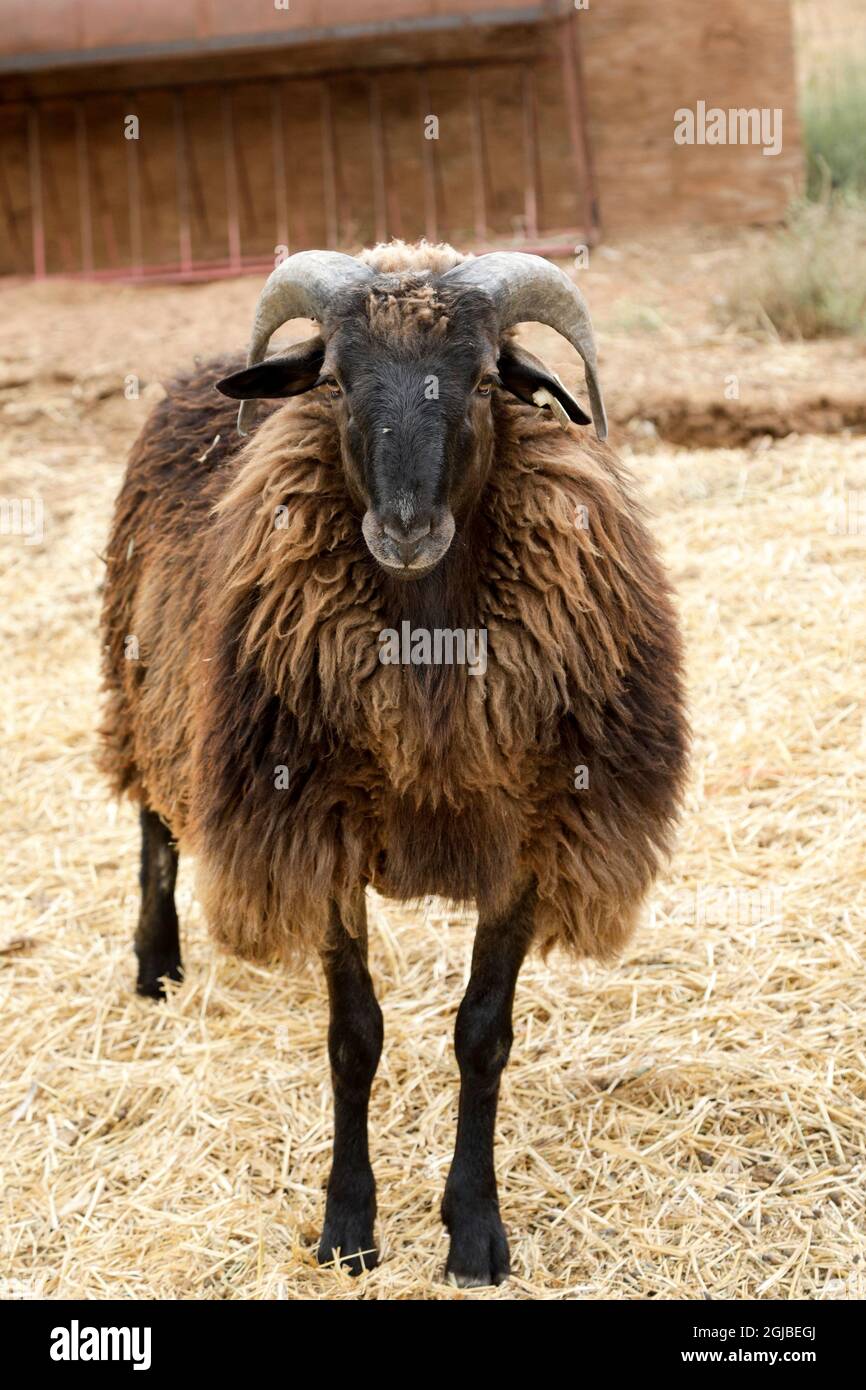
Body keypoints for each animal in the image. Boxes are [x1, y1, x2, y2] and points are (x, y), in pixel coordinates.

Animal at [99, 240, 688, 1286]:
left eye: (488, 379)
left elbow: (483, 1035)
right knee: (154, 820)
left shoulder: (531, 834)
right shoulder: (321, 830)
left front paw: (475, 1234)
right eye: (334, 380)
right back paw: (157, 965)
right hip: (144, 682)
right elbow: (354, 1036)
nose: (407, 529)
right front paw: (348, 1227)